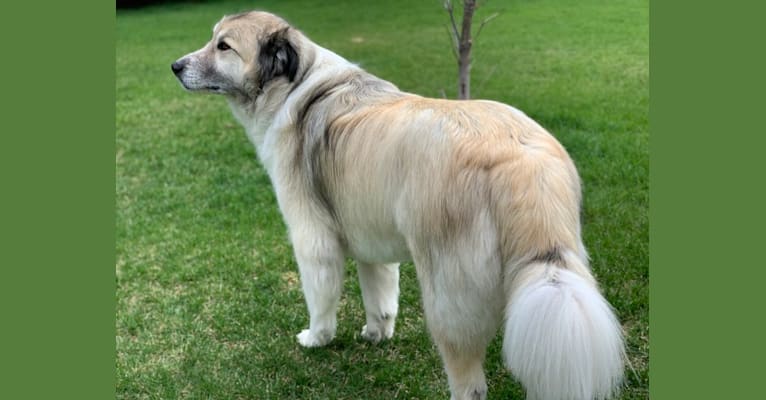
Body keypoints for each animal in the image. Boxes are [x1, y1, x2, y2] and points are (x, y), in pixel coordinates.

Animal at [172, 10, 624, 400]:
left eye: (224, 47)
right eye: (212, 39)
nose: (175, 66)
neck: (297, 88)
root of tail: (522, 159)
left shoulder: (314, 241)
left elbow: (321, 300)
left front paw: (315, 339)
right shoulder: (370, 239)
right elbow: (380, 296)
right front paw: (376, 334)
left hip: (447, 299)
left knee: (468, 381)